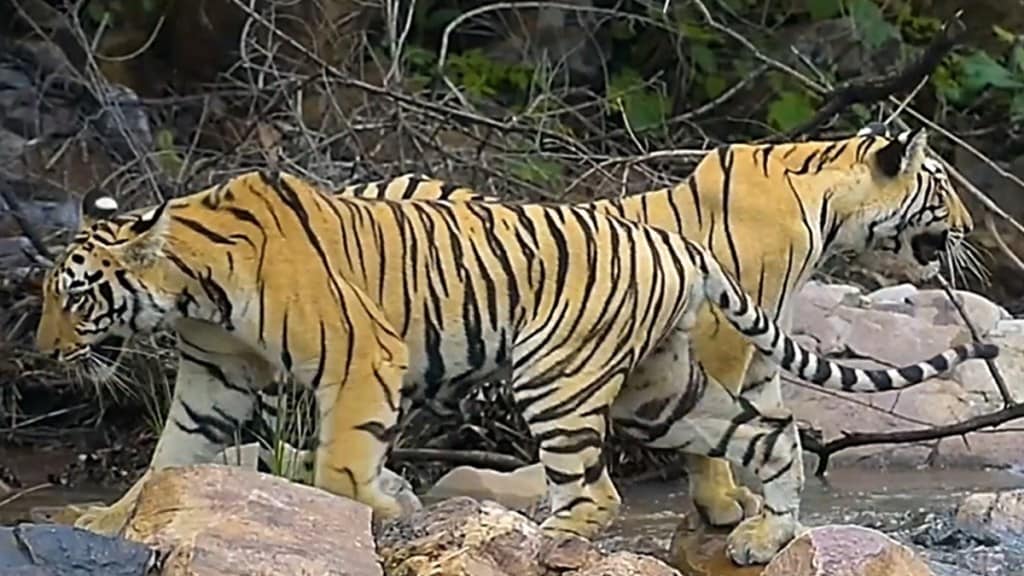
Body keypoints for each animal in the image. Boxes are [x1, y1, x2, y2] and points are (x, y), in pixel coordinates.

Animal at [34, 168, 991, 561]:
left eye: (74, 296)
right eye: (48, 297)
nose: (43, 352)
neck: (189, 288)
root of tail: (672, 240)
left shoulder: (364, 358)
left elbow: (341, 464)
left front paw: (382, 508)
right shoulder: (214, 380)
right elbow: (170, 460)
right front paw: (108, 518)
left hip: (559, 380)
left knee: (597, 494)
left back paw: (543, 540)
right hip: (658, 390)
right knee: (766, 433)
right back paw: (767, 533)